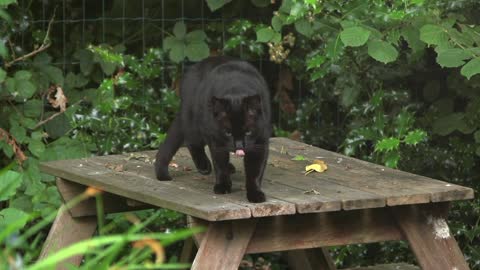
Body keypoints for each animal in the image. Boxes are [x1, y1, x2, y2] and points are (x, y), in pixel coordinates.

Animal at [156, 56, 272, 202]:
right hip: (194, 123)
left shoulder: (260, 144)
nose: (239, 145)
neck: (236, 90)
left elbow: (255, 171)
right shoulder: (216, 141)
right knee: (192, 142)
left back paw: (230, 167)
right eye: (228, 132)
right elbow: (219, 164)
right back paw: (204, 167)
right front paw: (222, 186)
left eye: (248, 132)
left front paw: (255, 194)